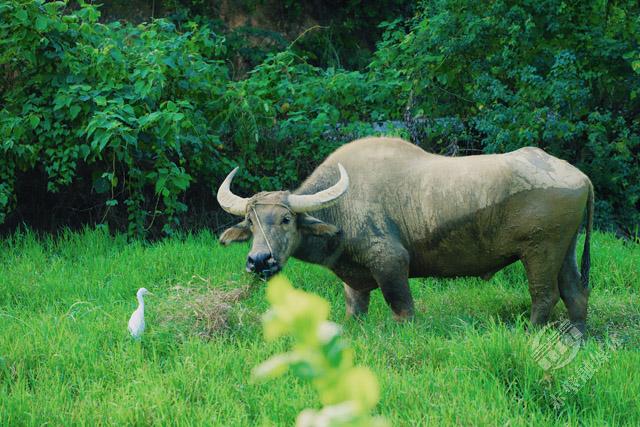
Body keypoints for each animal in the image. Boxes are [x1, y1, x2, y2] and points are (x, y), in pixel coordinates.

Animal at [218, 137, 592, 332]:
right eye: (251, 222)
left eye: (285, 219)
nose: (259, 261)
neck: (342, 207)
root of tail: (580, 177)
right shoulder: (354, 281)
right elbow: (355, 309)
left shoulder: (391, 264)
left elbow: (403, 309)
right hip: (565, 250)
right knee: (575, 293)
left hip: (540, 251)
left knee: (545, 296)